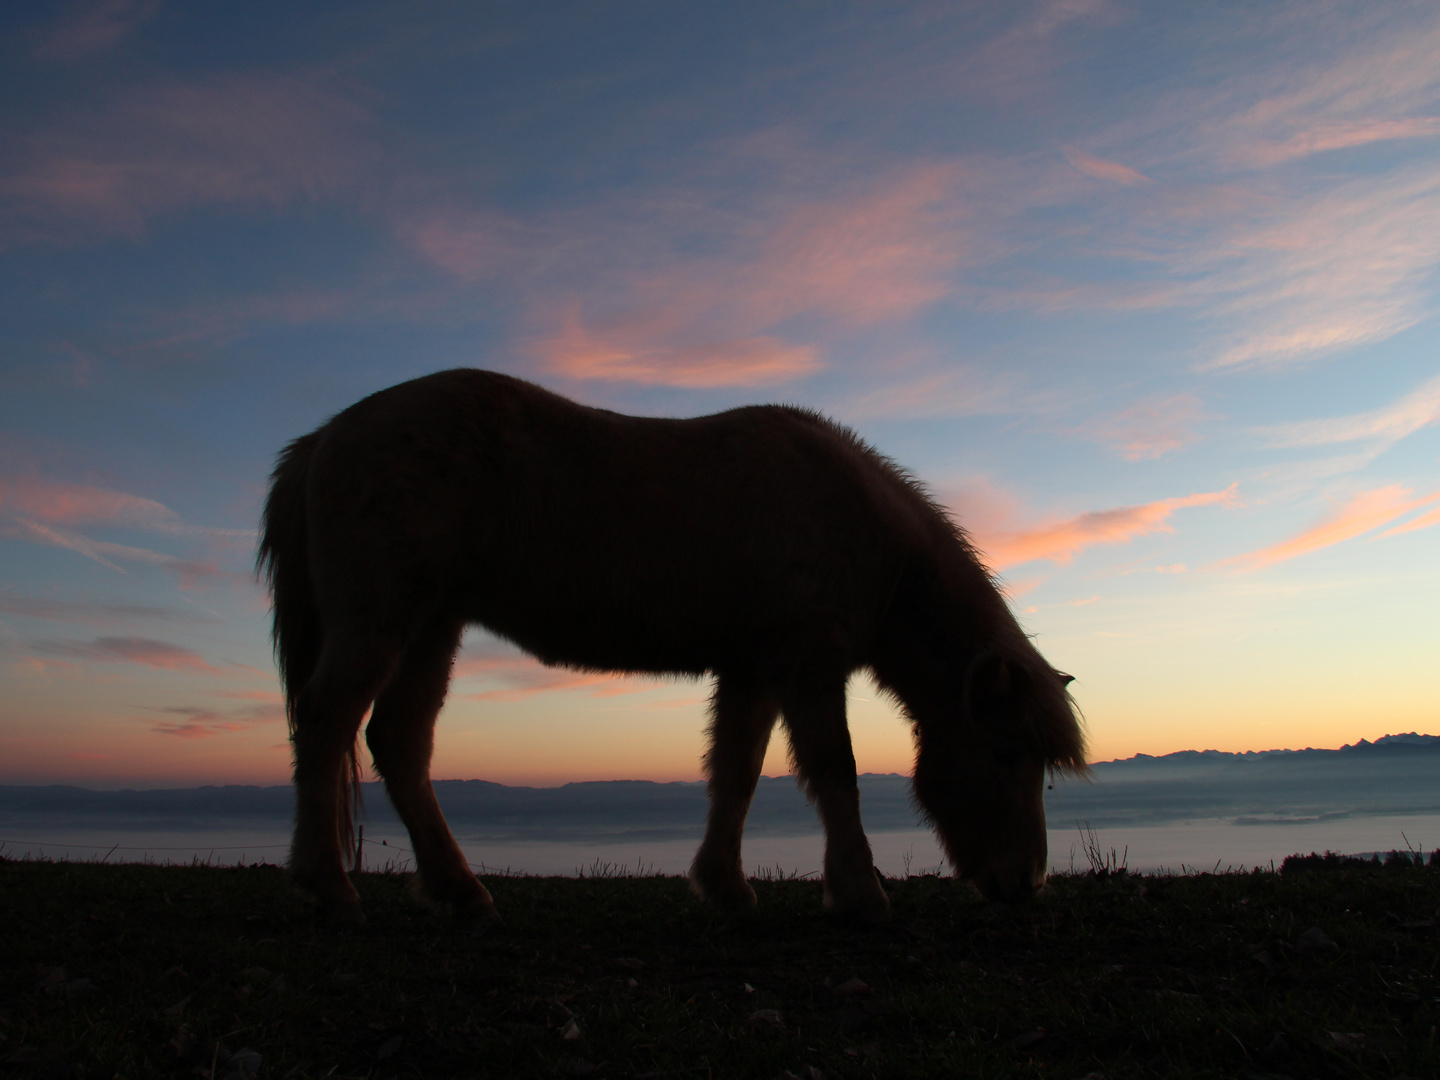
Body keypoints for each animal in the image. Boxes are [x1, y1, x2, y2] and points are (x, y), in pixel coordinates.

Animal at [262, 371, 1088, 921]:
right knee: (328, 721)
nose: (1027, 883)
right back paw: (326, 882)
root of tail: (325, 438)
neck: (865, 531)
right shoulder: (807, 668)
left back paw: (458, 889)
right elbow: (835, 771)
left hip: (434, 627)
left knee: (399, 741)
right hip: (384, 617)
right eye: (1006, 753)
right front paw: (858, 889)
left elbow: (737, 774)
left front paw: (724, 884)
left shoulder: (754, 670)